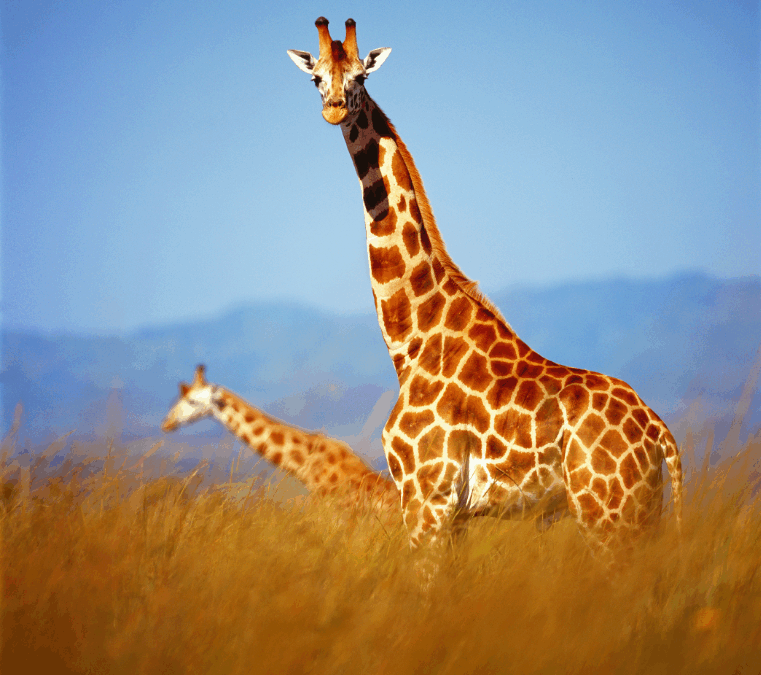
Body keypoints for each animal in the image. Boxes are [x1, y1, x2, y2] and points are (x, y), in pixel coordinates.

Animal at [287, 18, 683, 555]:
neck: (412, 341)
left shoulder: (426, 497)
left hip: (608, 514)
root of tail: (660, 433)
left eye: (360, 77)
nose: (334, 108)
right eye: (316, 78)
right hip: (640, 513)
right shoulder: (451, 514)